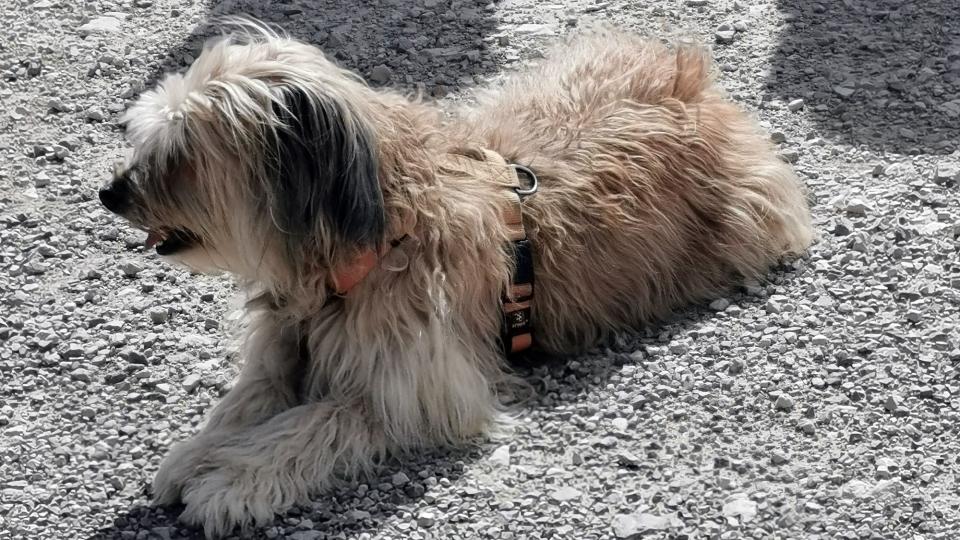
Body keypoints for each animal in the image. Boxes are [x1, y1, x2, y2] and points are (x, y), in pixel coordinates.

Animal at [101, 20, 812, 536]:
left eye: (182, 155)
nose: (110, 194)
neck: (366, 244)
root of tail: (690, 81)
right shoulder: (283, 348)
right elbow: (247, 401)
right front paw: (196, 453)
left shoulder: (415, 390)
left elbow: (313, 422)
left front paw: (232, 480)